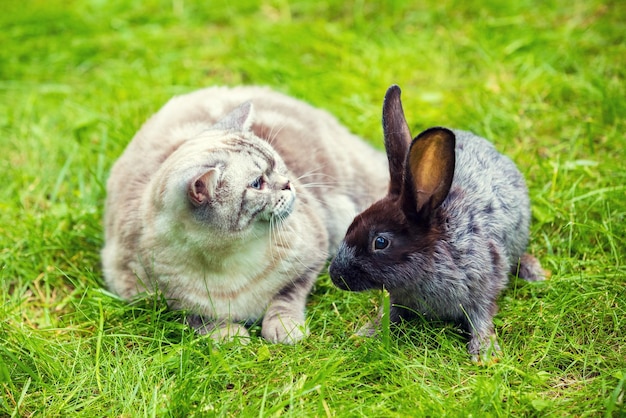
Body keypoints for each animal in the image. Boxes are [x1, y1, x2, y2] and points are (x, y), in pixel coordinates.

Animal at [101, 85, 386, 342]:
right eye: (258, 183)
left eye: (277, 164)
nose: (288, 184)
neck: (228, 259)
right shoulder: (140, 295)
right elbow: (192, 315)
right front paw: (229, 335)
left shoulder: (314, 254)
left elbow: (287, 296)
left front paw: (283, 328)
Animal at [330, 85, 544, 362]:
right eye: (353, 222)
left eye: (381, 242)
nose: (335, 275)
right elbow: (389, 314)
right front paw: (366, 334)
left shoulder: (483, 285)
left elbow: (482, 316)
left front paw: (484, 354)